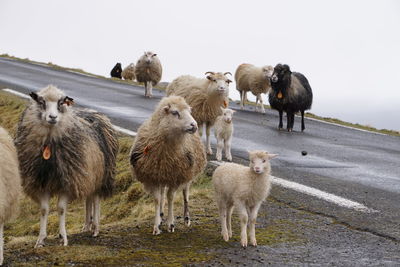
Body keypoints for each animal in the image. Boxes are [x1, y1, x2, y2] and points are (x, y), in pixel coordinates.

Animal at [15, 85, 119, 248]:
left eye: (61, 102)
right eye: (41, 101)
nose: (52, 117)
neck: (49, 144)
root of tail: (94, 112)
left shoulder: (68, 181)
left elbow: (61, 209)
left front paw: (63, 237)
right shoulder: (42, 182)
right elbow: (44, 210)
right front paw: (40, 240)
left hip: (100, 174)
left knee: (95, 199)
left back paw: (95, 227)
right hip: (88, 174)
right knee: (88, 199)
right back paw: (86, 226)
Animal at [130, 96, 206, 234]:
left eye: (189, 111)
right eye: (175, 112)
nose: (194, 125)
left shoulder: (175, 177)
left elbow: (171, 197)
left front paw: (171, 224)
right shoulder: (154, 177)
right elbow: (157, 199)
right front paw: (157, 226)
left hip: (187, 174)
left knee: (185, 194)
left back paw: (186, 218)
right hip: (162, 175)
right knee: (162, 194)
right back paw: (160, 215)